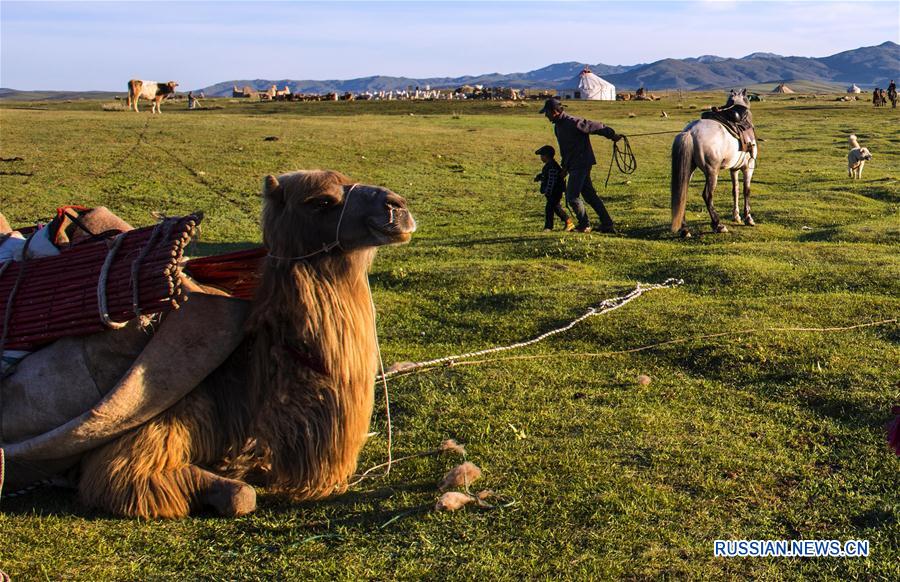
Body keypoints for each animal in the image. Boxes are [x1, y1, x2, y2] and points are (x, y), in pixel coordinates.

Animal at [672, 89, 756, 235]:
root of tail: (690, 132)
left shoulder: (734, 169)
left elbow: (735, 189)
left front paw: (736, 216)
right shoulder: (749, 166)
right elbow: (746, 190)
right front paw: (748, 218)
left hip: (689, 169)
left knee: (682, 194)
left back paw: (685, 229)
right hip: (712, 172)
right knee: (707, 195)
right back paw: (718, 224)